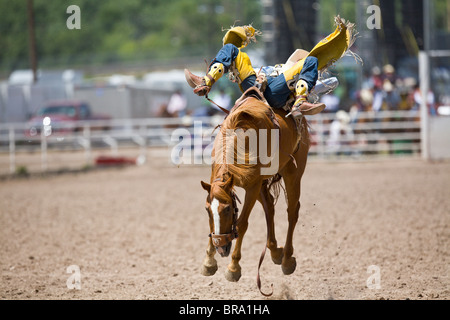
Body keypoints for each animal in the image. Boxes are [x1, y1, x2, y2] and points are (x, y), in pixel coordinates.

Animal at [200, 89, 316, 294]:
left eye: (228, 209)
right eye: (207, 210)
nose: (220, 247)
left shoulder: (252, 186)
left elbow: (242, 224)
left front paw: (233, 268)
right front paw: (209, 261)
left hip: (293, 172)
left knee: (292, 212)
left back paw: (286, 259)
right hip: (264, 182)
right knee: (270, 207)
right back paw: (275, 251)